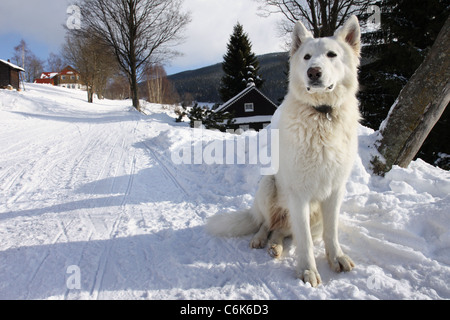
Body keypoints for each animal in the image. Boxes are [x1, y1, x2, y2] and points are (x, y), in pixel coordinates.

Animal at [207, 15, 362, 288]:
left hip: (312, 218)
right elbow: (306, 243)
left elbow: (331, 233)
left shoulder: (335, 191)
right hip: (268, 185)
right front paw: (308, 271)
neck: (321, 115)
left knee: (280, 231)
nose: (313, 72)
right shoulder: (298, 195)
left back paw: (276, 247)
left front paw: (337, 258)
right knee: (265, 224)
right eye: (307, 57)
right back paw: (260, 239)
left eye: (332, 54)